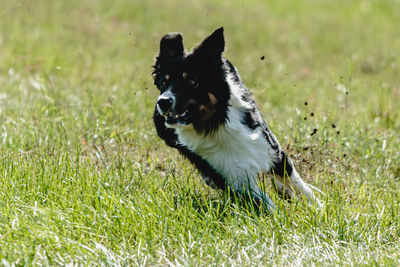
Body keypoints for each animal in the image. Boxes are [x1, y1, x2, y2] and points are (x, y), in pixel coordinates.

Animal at [152, 26, 320, 213]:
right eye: (163, 83)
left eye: (192, 82)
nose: (163, 102)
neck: (217, 124)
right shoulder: (235, 179)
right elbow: (266, 204)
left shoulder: (271, 150)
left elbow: (299, 186)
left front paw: (319, 210)